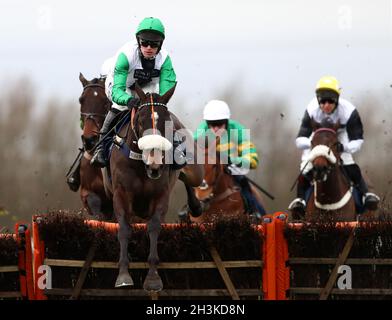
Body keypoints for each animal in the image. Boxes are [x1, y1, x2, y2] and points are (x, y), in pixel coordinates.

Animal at [102, 84, 204, 292]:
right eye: (141, 122)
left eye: (166, 122)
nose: (155, 164)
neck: (141, 165)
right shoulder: (121, 194)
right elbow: (124, 229)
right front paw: (123, 274)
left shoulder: (161, 194)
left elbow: (154, 227)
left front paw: (152, 278)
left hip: (195, 171)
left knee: (188, 178)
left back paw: (194, 206)